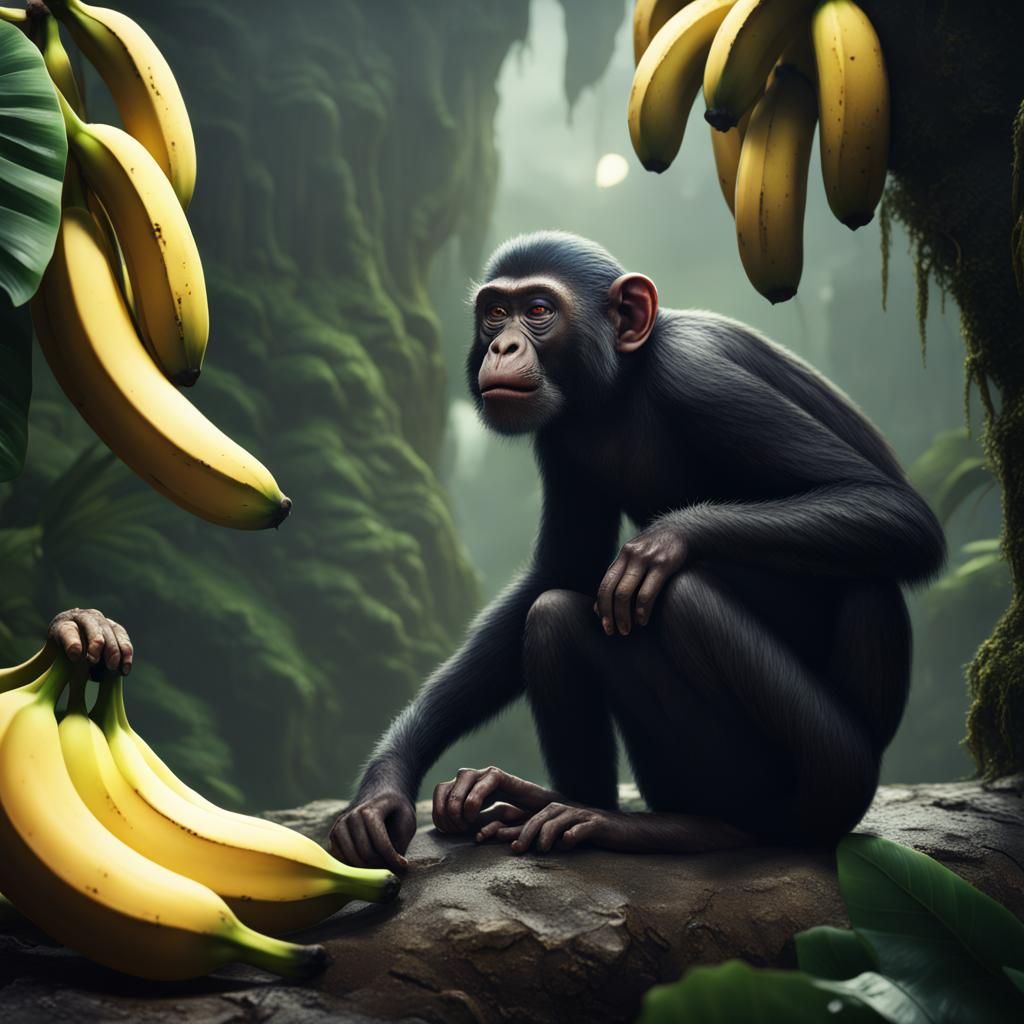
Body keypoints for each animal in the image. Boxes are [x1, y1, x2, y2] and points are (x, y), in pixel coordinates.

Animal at [329, 231, 945, 870]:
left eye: (539, 310)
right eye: (495, 311)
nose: (501, 343)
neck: (622, 383)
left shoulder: (699, 378)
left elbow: (891, 508)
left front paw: (660, 543)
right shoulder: (560, 434)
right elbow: (556, 572)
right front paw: (384, 789)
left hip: (830, 773)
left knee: (685, 600)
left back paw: (695, 828)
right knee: (551, 616)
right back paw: (554, 806)